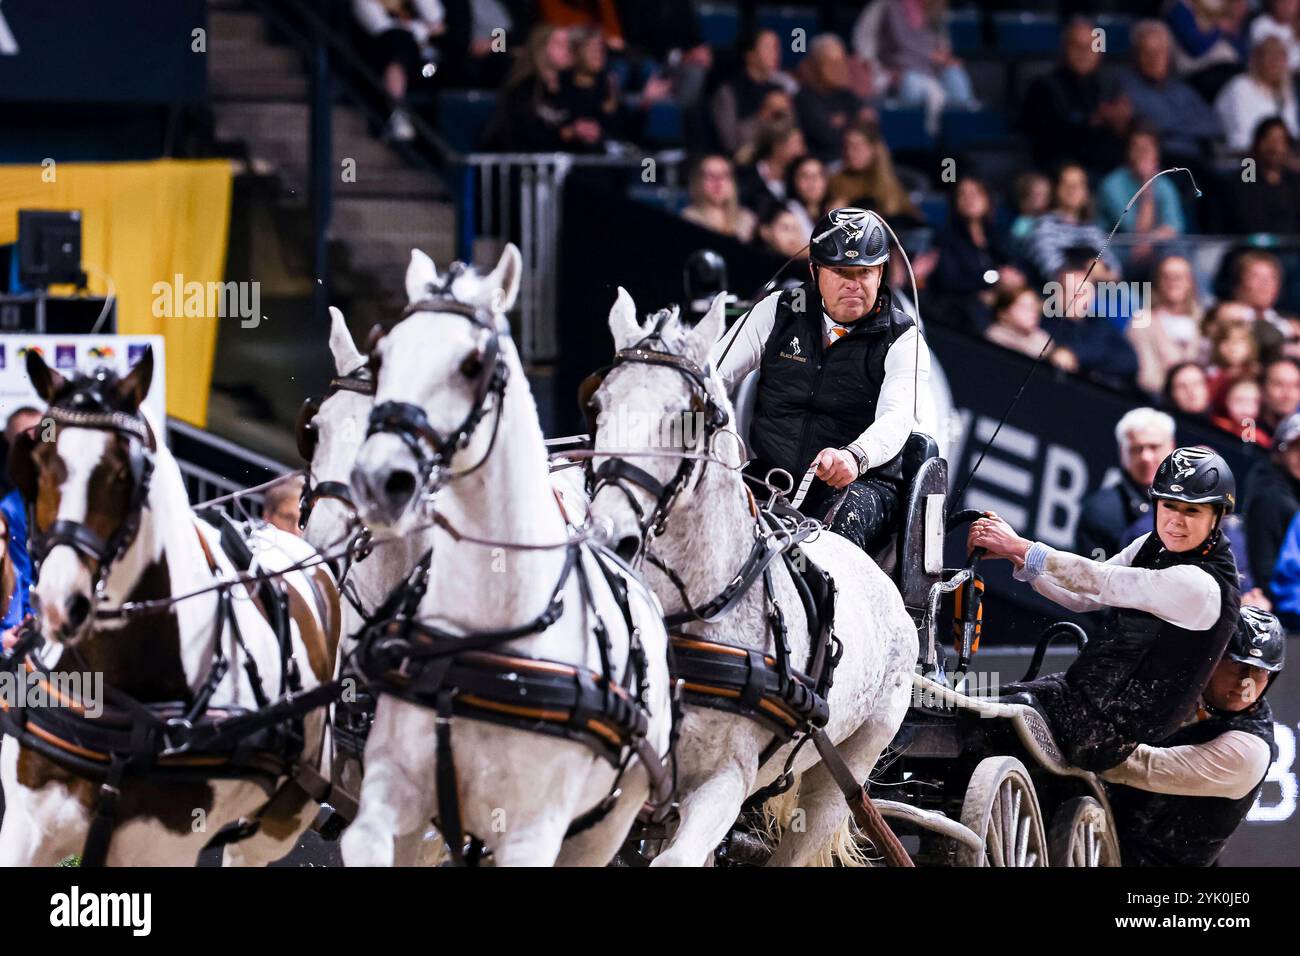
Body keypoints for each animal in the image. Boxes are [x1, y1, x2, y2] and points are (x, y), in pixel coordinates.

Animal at [0, 351, 340, 868]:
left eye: (125, 473)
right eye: (36, 462)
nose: (59, 601)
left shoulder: (163, 847)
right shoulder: (26, 829)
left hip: (275, 826)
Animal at [343, 244, 670, 868]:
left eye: (473, 364)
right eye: (384, 354)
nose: (377, 480)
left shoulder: (532, 833)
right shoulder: (394, 791)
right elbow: (363, 840)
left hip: (602, 829)